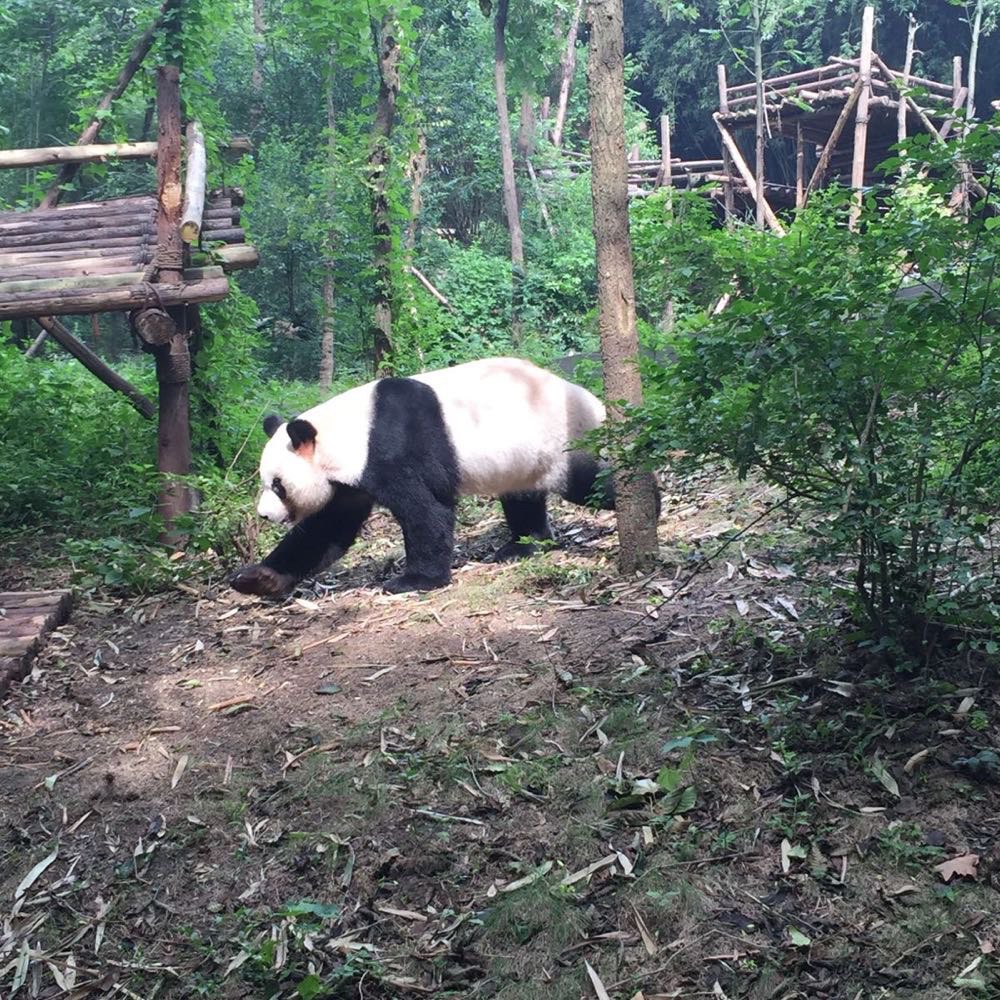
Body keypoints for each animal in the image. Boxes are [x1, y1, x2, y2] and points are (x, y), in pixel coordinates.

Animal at [227, 356, 648, 596]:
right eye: (265, 482)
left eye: (277, 484)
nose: (265, 515)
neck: (346, 431)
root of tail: (593, 400)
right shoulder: (348, 479)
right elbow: (326, 529)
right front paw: (257, 579)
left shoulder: (393, 447)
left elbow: (426, 510)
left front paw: (412, 582)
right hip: (523, 458)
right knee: (522, 497)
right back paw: (522, 547)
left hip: (560, 438)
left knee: (588, 484)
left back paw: (645, 500)